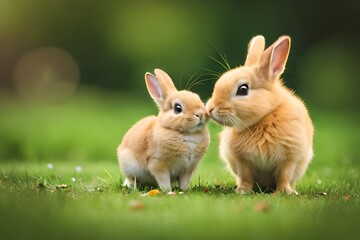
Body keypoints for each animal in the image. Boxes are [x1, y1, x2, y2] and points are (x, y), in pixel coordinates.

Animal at [207, 35, 314, 195]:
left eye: (243, 89)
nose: (210, 108)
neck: (265, 117)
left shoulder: (288, 159)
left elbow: (283, 176)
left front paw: (285, 192)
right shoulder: (243, 161)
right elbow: (247, 177)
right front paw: (243, 190)